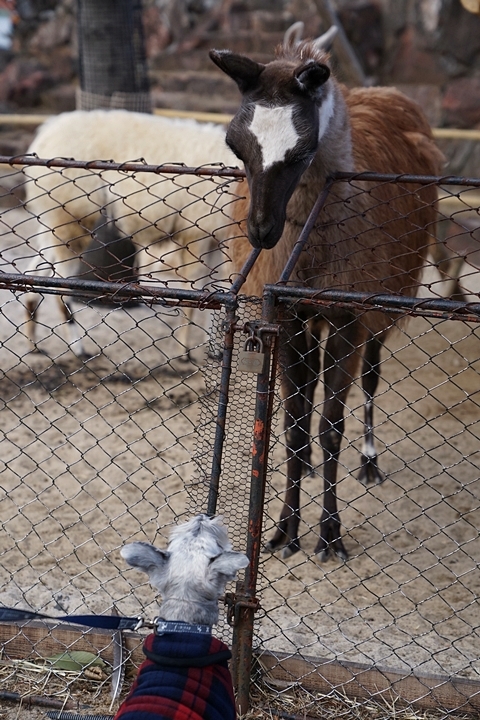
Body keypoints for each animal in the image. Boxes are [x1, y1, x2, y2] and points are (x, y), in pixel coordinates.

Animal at [23, 109, 239, 358]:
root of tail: (46, 131)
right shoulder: (196, 232)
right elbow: (195, 293)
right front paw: (183, 352)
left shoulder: (216, 238)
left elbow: (216, 293)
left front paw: (213, 351)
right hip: (72, 217)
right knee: (60, 284)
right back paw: (78, 348)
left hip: (52, 220)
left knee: (33, 275)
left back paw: (33, 345)